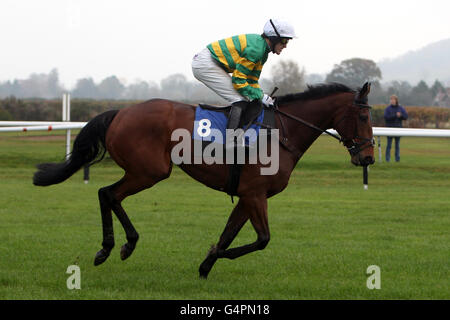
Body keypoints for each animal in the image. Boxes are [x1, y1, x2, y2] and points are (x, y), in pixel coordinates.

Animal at [33, 82, 374, 278]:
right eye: (364, 116)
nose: (368, 157)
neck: (281, 133)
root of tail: (120, 113)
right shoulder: (256, 194)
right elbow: (262, 240)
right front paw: (213, 255)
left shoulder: (248, 195)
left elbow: (230, 233)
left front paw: (206, 264)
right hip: (150, 171)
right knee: (107, 193)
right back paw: (115, 247)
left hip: (145, 171)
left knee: (110, 195)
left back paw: (120, 245)